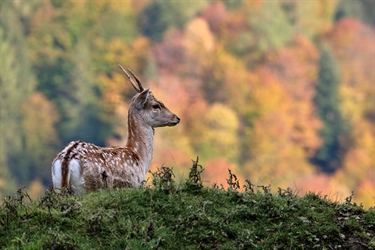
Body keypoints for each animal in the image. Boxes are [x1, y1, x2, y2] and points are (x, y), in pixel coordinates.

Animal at [51, 65, 181, 194]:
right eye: (156, 105)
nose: (176, 117)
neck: (139, 156)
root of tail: (67, 159)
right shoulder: (135, 185)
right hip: (87, 188)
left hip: (58, 187)